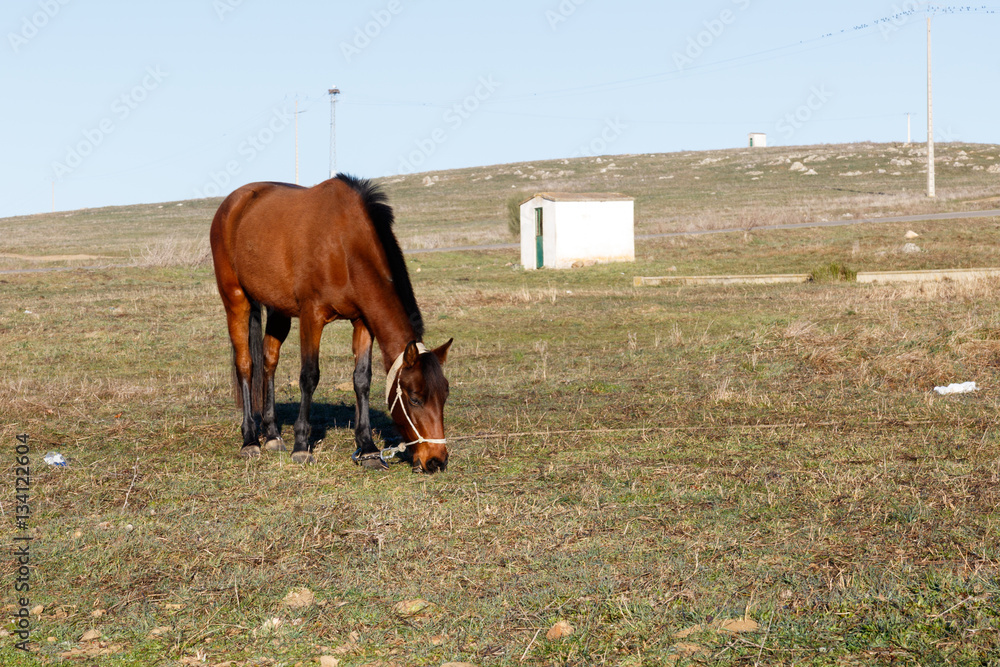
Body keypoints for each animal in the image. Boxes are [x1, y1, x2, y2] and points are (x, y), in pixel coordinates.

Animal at [209, 173, 452, 473]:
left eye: (444, 396)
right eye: (415, 398)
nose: (436, 461)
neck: (345, 246)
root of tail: (233, 202)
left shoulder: (363, 321)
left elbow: (362, 379)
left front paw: (368, 447)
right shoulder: (312, 317)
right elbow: (309, 376)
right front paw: (302, 445)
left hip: (279, 310)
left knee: (269, 362)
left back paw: (273, 434)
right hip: (236, 300)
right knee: (245, 364)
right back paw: (250, 439)